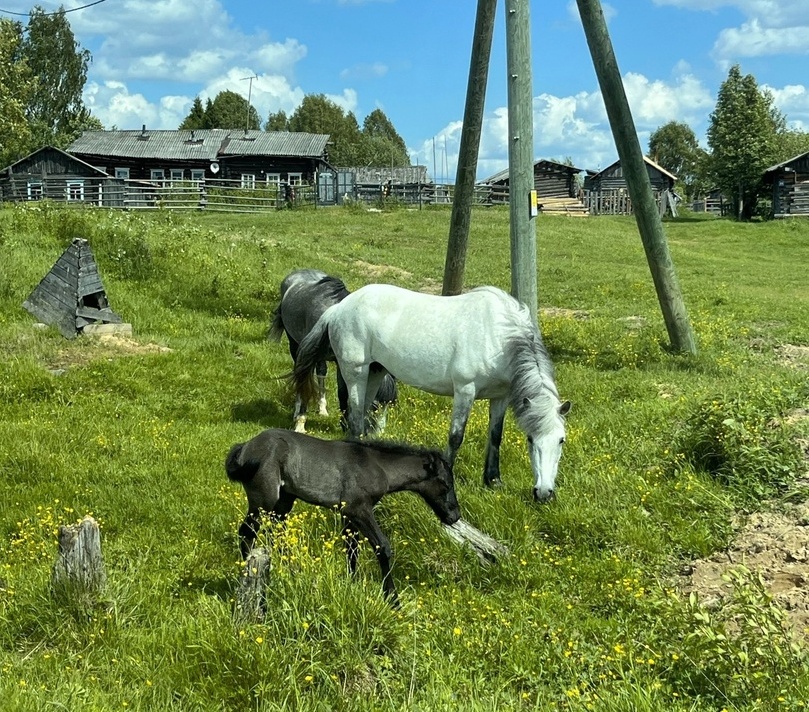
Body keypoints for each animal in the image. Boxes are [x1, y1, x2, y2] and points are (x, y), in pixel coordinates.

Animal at [270, 268, 396, 432]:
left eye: (389, 404)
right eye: (375, 405)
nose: (379, 432)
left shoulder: (341, 363)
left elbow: (342, 392)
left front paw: (344, 425)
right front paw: (300, 424)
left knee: (321, 372)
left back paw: (322, 408)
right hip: (294, 345)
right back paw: (297, 411)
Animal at [290, 284, 568, 500]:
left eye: (561, 440)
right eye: (531, 440)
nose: (544, 493)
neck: (498, 337)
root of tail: (338, 308)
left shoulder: (500, 396)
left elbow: (495, 436)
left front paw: (493, 481)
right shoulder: (465, 390)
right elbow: (456, 437)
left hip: (375, 372)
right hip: (355, 372)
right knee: (356, 418)